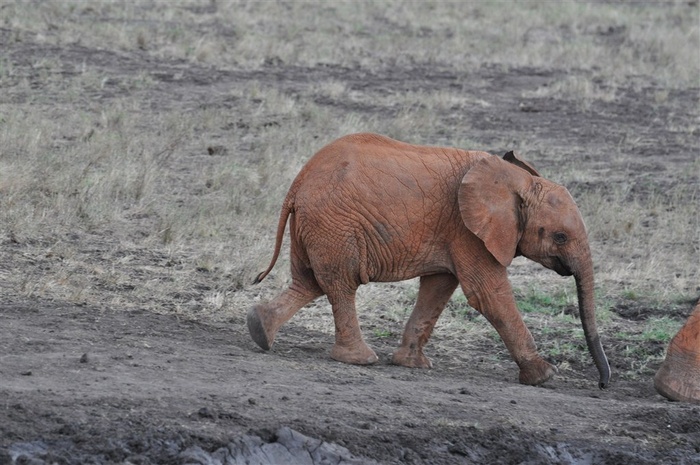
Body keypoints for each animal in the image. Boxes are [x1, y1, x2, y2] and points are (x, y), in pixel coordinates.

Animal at [249, 132, 608, 386]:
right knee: (341, 284)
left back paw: (260, 331)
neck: (516, 180)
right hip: (334, 224)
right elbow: (488, 294)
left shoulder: (454, 232)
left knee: (309, 282)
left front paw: (412, 365)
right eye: (560, 237)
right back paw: (360, 359)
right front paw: (545, 375)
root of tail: (297, 184)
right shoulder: (466, 229)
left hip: (315, 226)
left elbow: (438, 288)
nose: (604, 384)